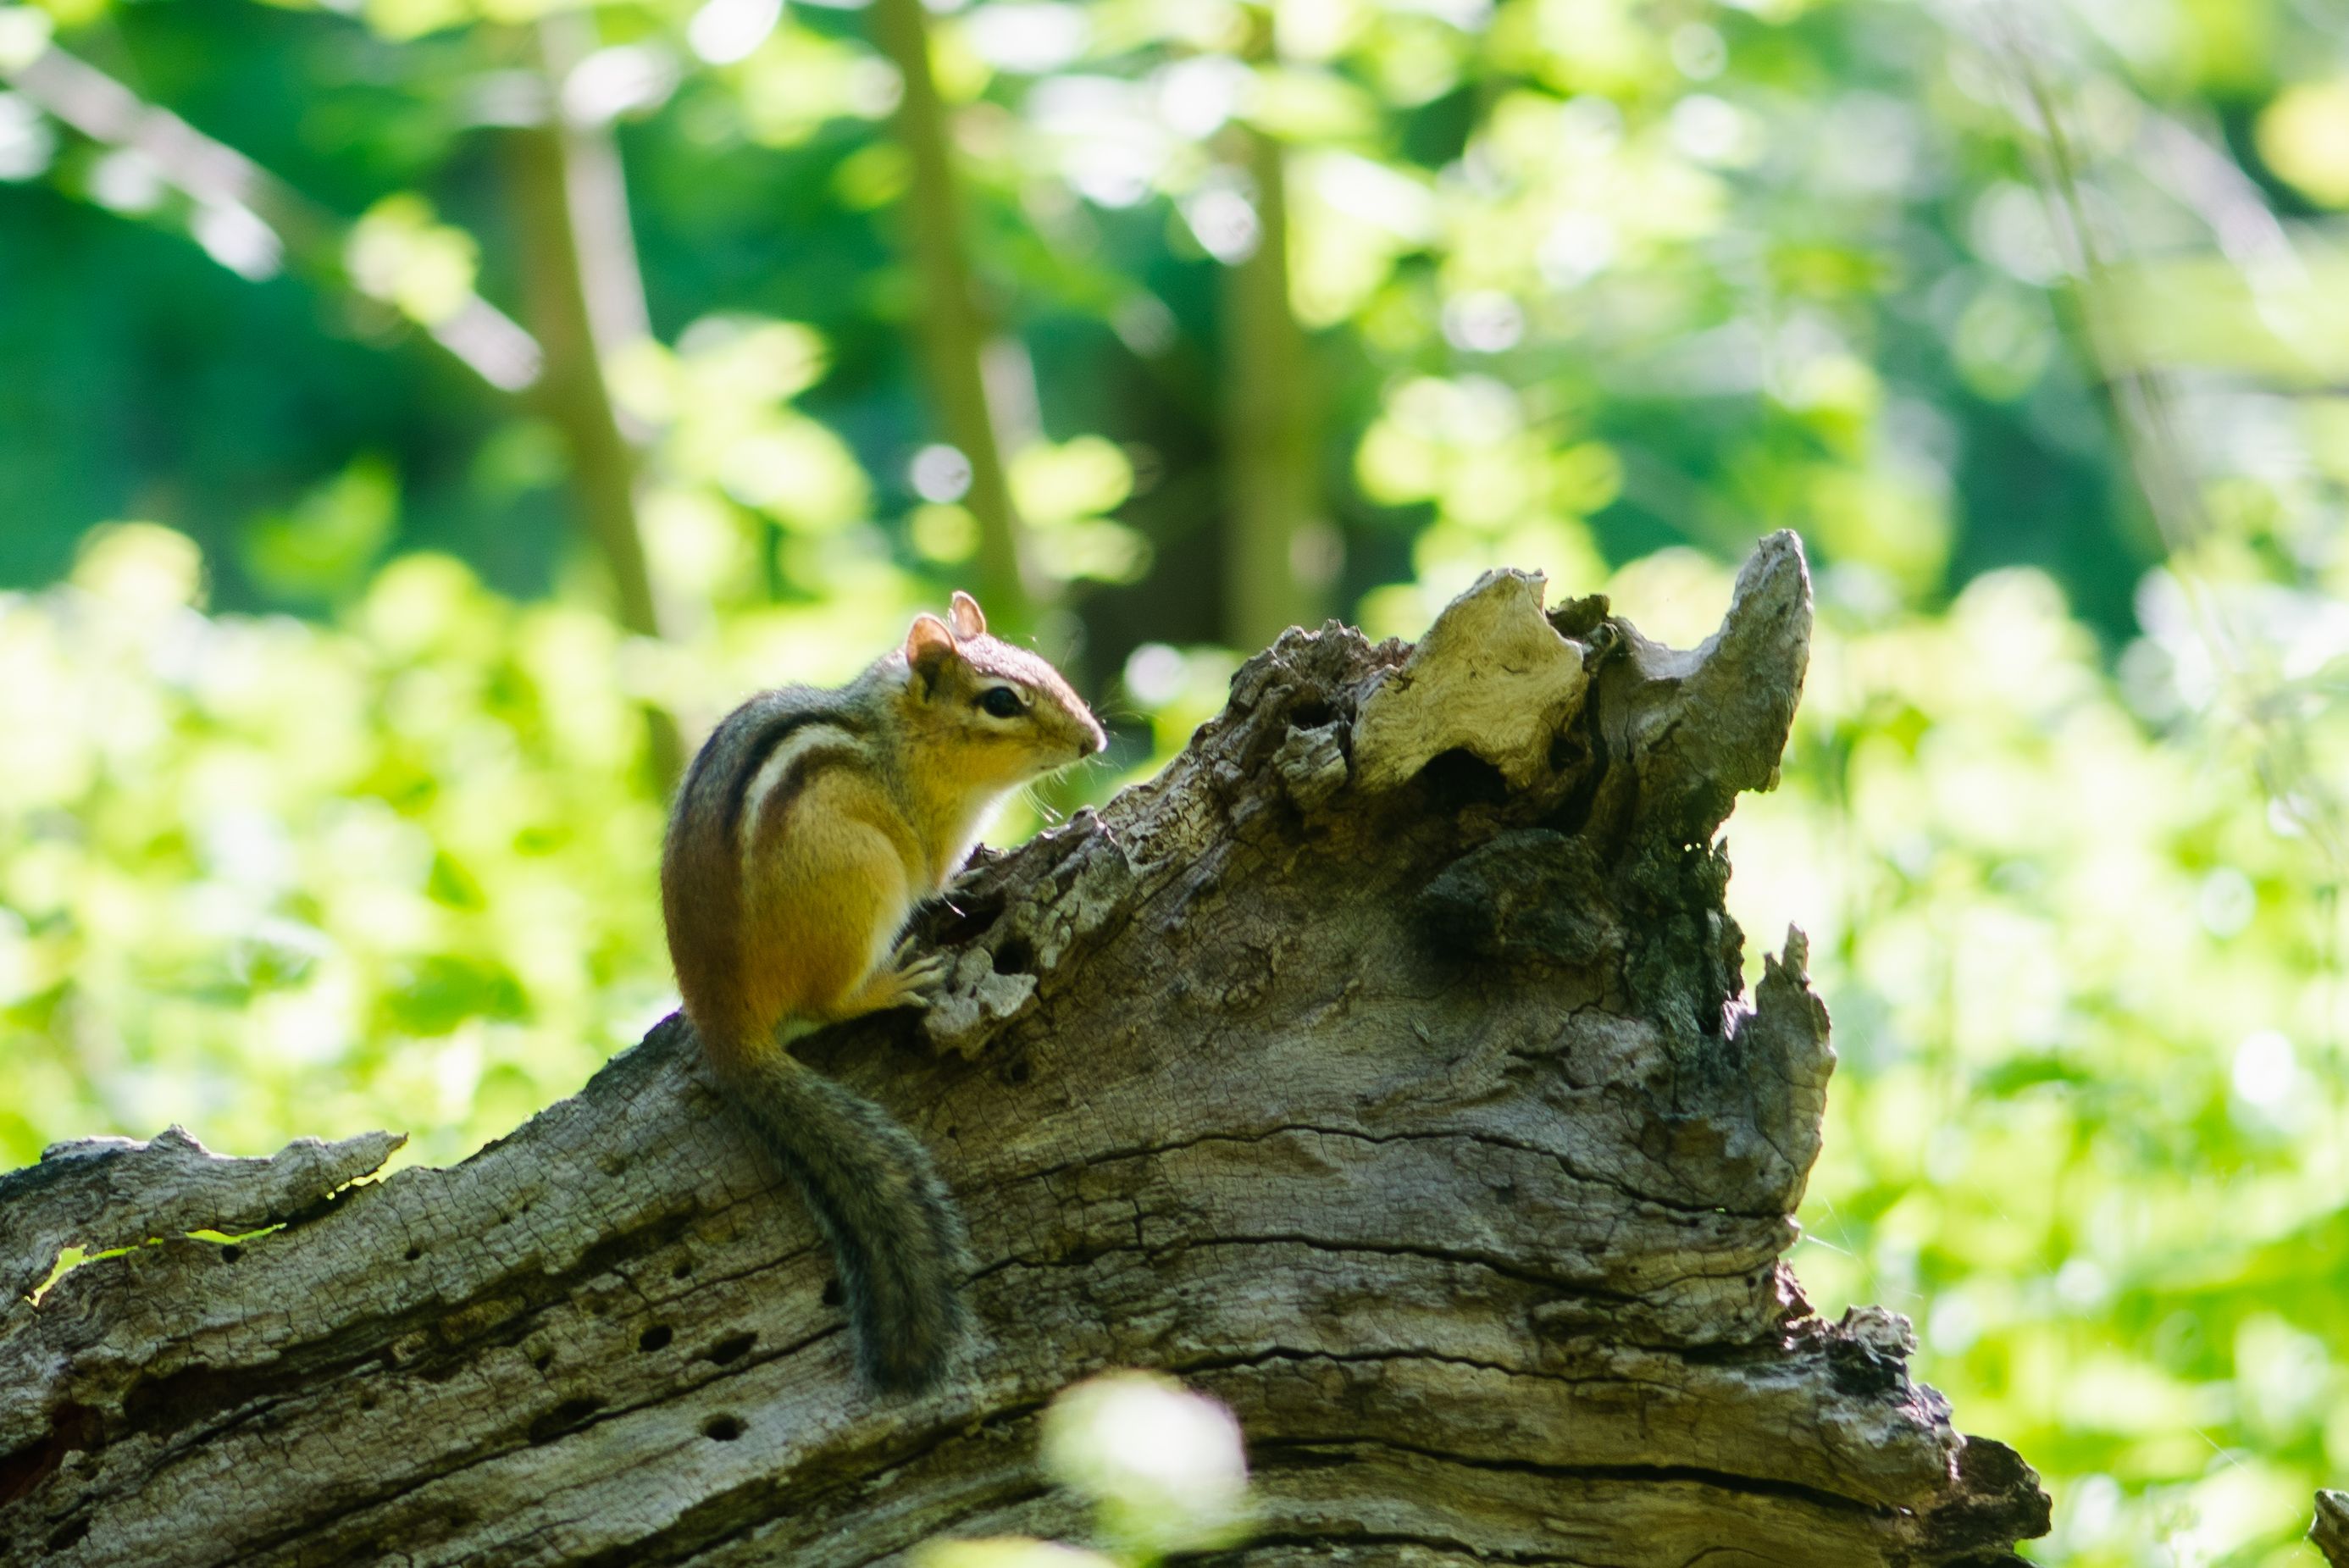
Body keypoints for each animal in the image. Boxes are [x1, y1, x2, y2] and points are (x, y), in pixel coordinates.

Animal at [660, 590, 1106, 1393]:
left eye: (1040, 664)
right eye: (1001, 700)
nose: (1093, 739)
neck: (901, 732)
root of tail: (725, 1025)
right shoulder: (931, 835)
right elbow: (943, 872)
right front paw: (978, 868)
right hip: (864, 878)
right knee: (827, 1002)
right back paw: (893, 981)